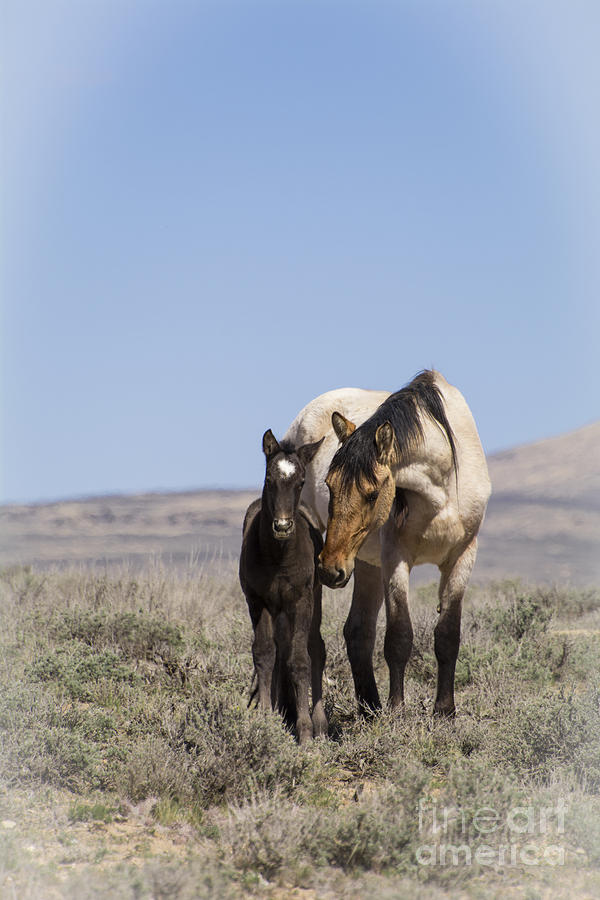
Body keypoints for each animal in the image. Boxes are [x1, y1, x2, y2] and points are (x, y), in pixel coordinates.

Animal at [284, 370, 490, 712]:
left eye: (372, 494)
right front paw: (396, 710)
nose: (329, 569)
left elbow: (447, 634)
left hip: (364, 563)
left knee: (358, 632)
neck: (442, 490)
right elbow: (398, 637)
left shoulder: (463, 556)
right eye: (330, 485)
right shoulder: (396, 558)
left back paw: (370, 707)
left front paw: (444, 711)